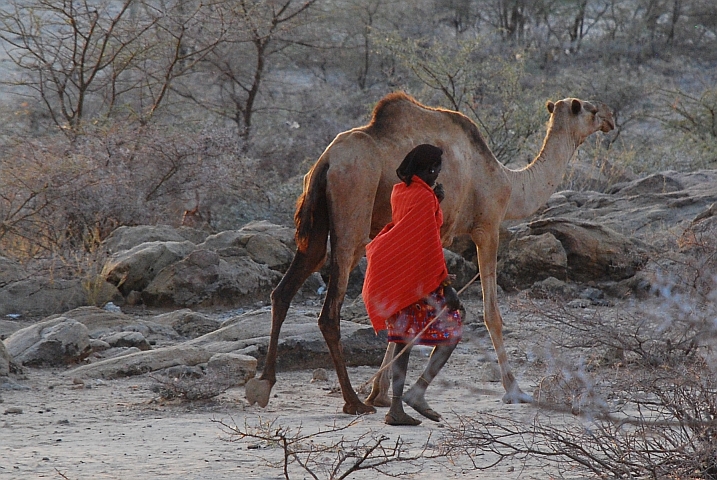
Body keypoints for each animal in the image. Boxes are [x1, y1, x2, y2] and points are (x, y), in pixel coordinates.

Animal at [243, 92, 612, 414]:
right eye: (590, 109)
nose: (611, 118)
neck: (508, 182)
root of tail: (326, 161)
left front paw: (380, 392)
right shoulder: (487, 227)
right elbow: (491, 314)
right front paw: (514, 390)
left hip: (316, 220)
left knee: (287, 286)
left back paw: (264, 385)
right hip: (353, 204)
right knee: (330, 309)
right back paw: (352, 401)